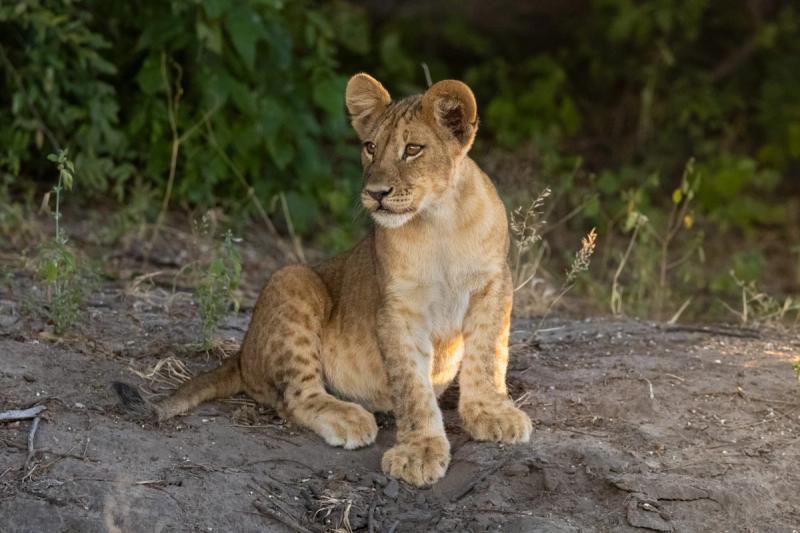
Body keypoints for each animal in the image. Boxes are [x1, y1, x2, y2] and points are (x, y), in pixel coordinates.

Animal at [114, 73, 532, 486]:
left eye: (413, 149)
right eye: (370, 148)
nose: (376, 193)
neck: (439, 222)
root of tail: (242, 354)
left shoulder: (494, 286)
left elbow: (487, 357)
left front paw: (492, 413)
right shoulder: (398, 308)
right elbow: (412, 386)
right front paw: (419, 451)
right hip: (292, 278)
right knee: (295, 396)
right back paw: (348, 418)